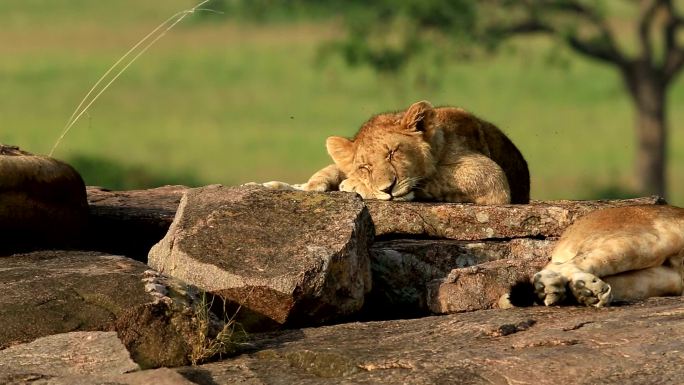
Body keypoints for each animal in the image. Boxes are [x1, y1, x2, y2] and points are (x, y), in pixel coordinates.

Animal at [266, 100, 528, 206]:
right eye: (366, 166)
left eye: (392, 153)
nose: (387, 189)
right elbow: (326, 174)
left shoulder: (491, 177)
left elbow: (436, 176)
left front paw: (353, 185)